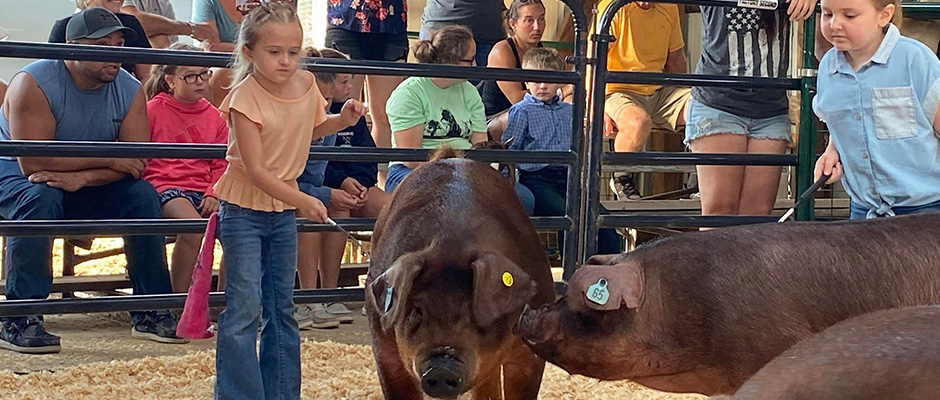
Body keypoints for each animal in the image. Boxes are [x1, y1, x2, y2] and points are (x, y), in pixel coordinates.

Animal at [366, 148, 555, 399]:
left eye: (472, 310)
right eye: (418, 310)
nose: (441, 368)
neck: (453, 243)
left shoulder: (529, 354)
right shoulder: (384, 349)